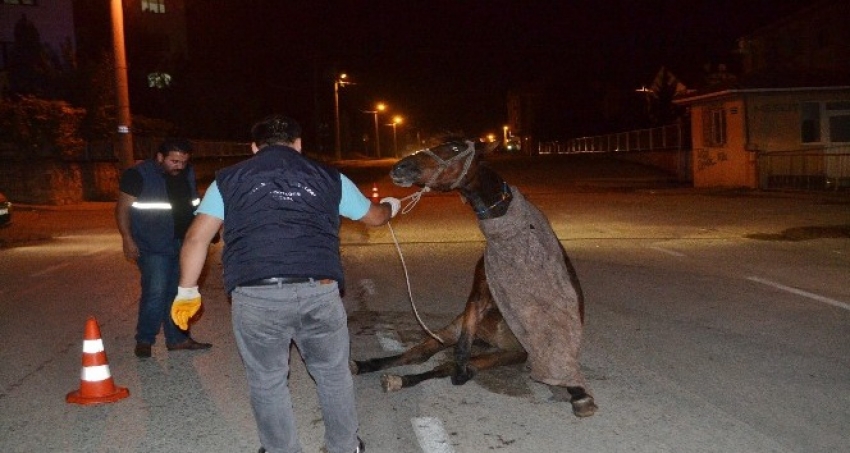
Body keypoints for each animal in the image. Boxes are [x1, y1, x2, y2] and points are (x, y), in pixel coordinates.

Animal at [348, 139, 592, 416]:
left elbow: (457, 364)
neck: (510, 242)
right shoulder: (476, 298)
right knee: (419, 352)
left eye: (455, 149)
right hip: (453, 329)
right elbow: (459, 350)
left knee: (447, 364)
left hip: (508, 353)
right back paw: (368, 367)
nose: (401, 167)